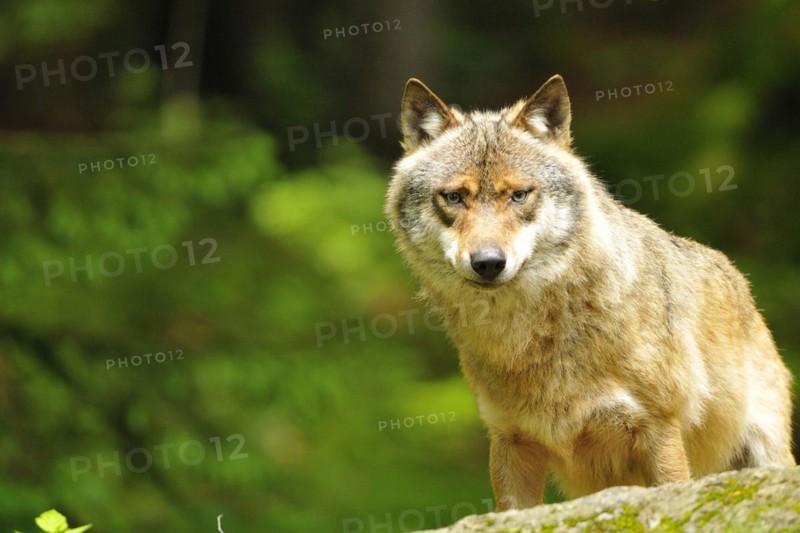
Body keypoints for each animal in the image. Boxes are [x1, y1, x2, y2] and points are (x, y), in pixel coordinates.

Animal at [385, 74, 795, 510]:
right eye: (454, 197)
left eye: (519, 195)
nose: (489, 262)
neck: (533, 337)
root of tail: (742, 284)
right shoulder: (510, 441)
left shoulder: (660, 430)